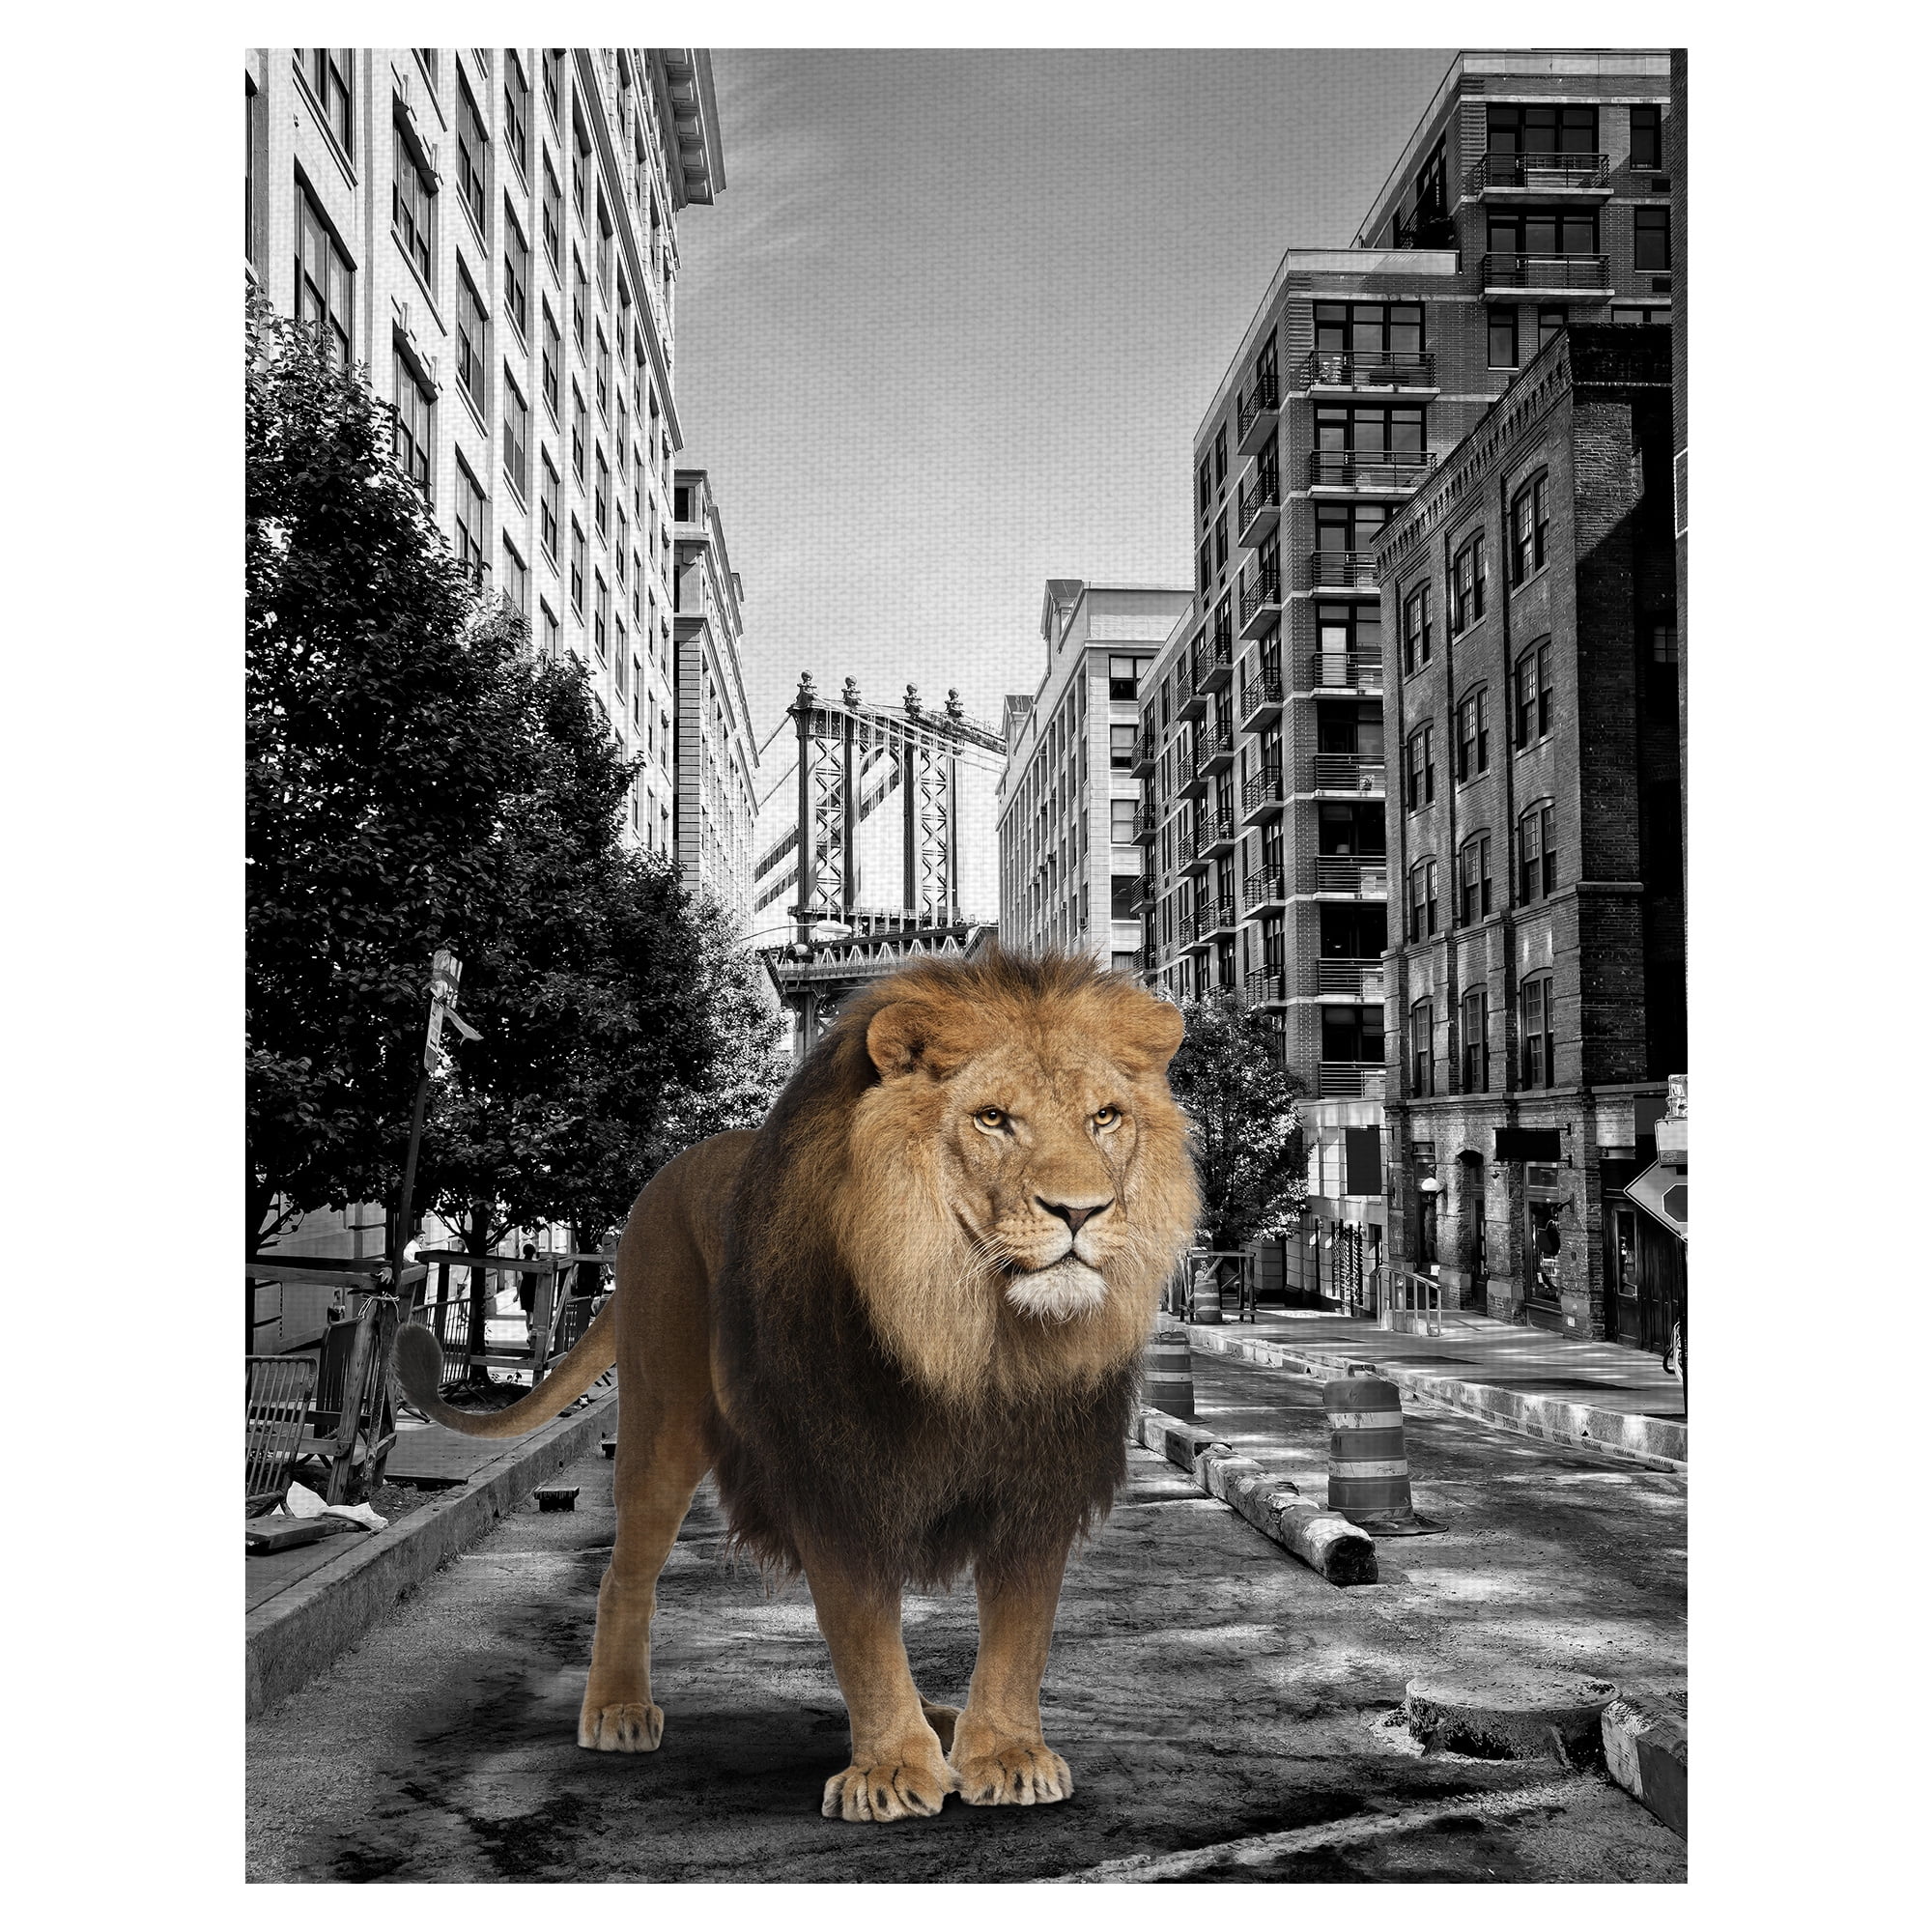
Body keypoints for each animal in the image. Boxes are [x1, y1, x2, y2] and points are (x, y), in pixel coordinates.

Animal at [394, 948, 1199, 1823]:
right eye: (992, 1119)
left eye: (1105, 1118)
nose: (1081, 1212)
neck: (975, 1336)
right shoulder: (836, 1470)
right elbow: (861, 1628)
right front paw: (892, 1770)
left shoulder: (1038, 1479)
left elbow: (1021, 1633)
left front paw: (1007, 1755)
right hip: (663, 1419)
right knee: (626, 1572)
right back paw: (616, 1710)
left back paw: (942, 1720)